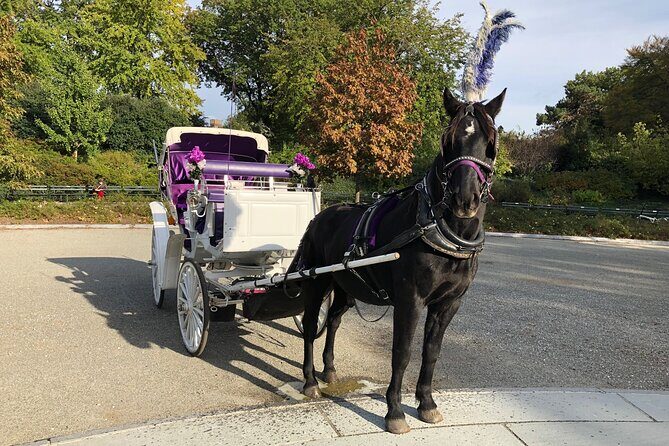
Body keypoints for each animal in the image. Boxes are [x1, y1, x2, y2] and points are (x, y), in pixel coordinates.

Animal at [295, 86, 506, 434]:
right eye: (448, 140)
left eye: (490, 144)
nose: (465, 200)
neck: (440, 231)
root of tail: (320, 216)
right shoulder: (411, 300)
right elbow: (402, 351)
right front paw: (394, 410)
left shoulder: (449, 303)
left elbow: (431, 351)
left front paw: (427, 403)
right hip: (317, 282)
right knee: (312, 326)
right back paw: (310, 380)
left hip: (345, 287)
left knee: (334, 321)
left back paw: (330, 370)